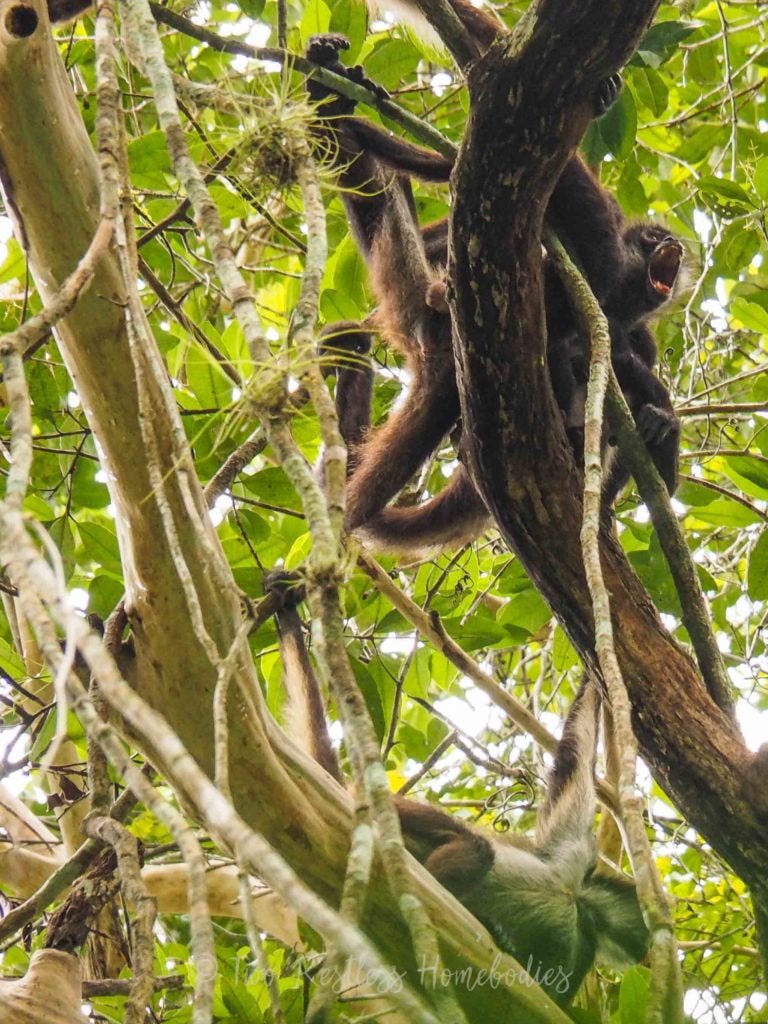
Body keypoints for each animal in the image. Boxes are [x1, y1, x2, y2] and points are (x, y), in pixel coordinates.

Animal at [264, 573, 651, 1011]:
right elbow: (578, 751)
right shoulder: (571, 852)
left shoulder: (580, 943)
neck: (577, 897)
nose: (649, 952)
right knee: (473, 847)